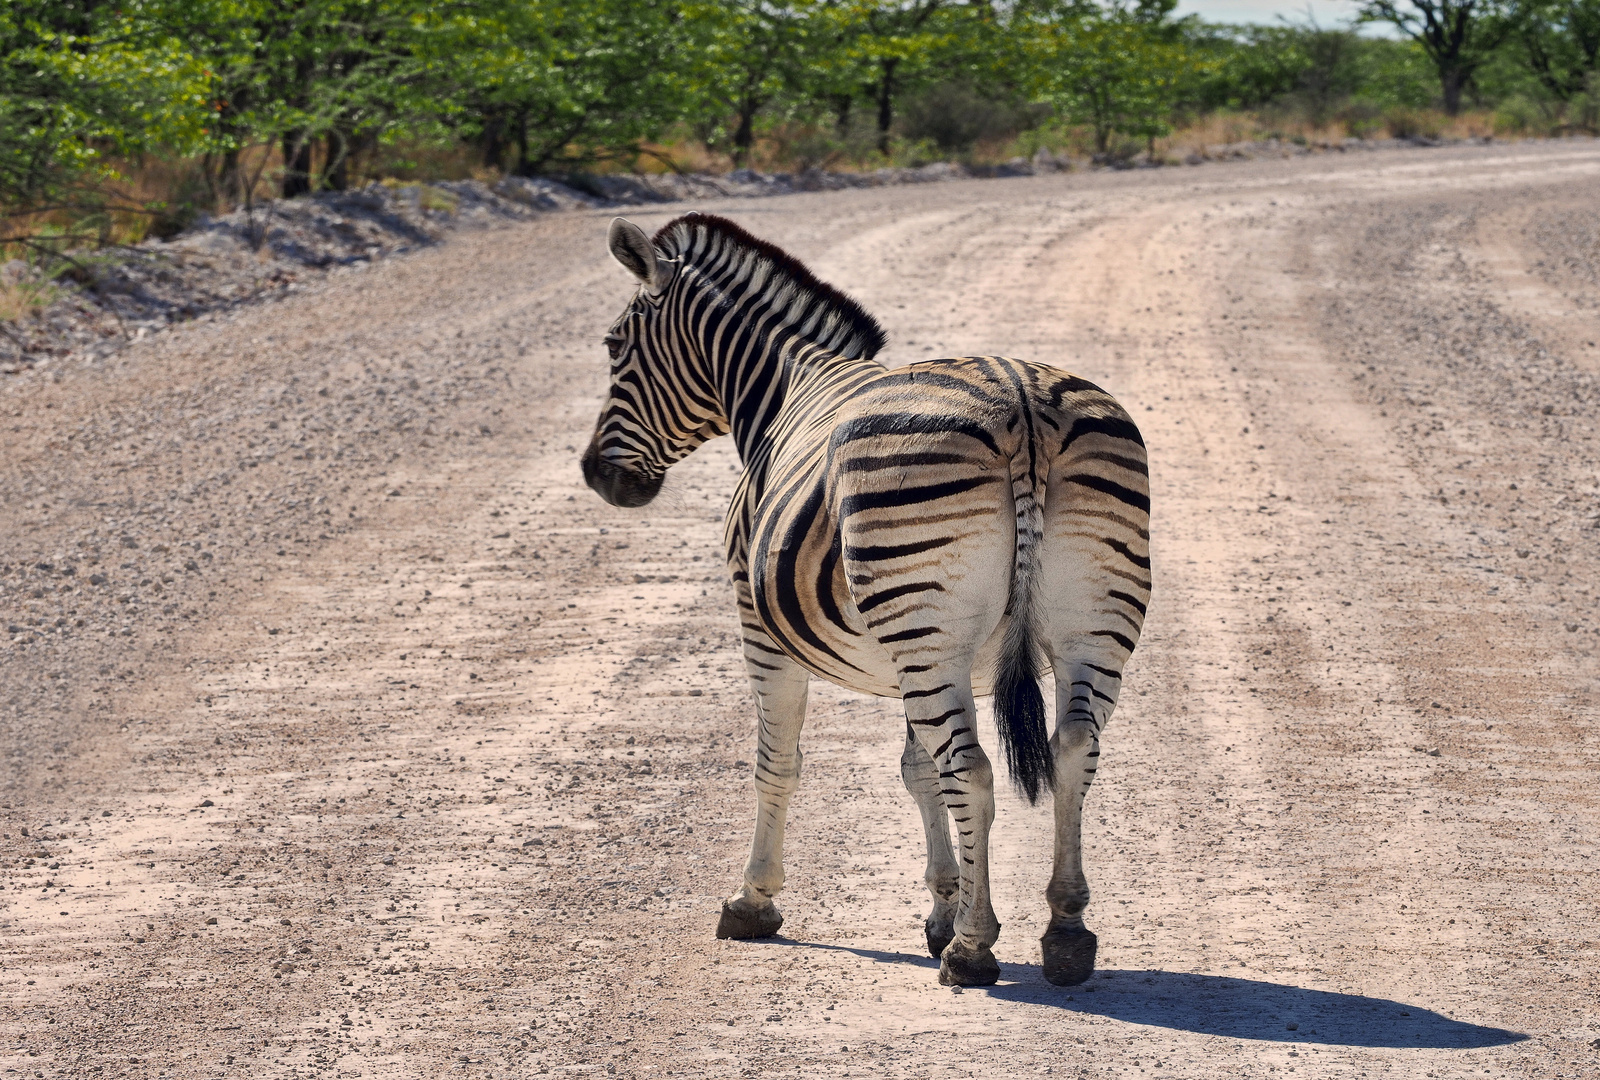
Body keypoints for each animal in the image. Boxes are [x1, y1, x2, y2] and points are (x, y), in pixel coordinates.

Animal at [579, 212, 1152, 985]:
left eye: (615, 347)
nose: (595, 476)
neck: (787, 388)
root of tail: (1022, 402)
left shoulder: (759, 630)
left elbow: (778, 764)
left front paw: (754, 901)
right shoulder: (918, 661)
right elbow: (919, 771)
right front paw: (940, 910)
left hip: (930, 631)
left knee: (975, 770)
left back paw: (975, 950)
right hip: (1079, 629)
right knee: (1070, 750)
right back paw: (1064, 933)